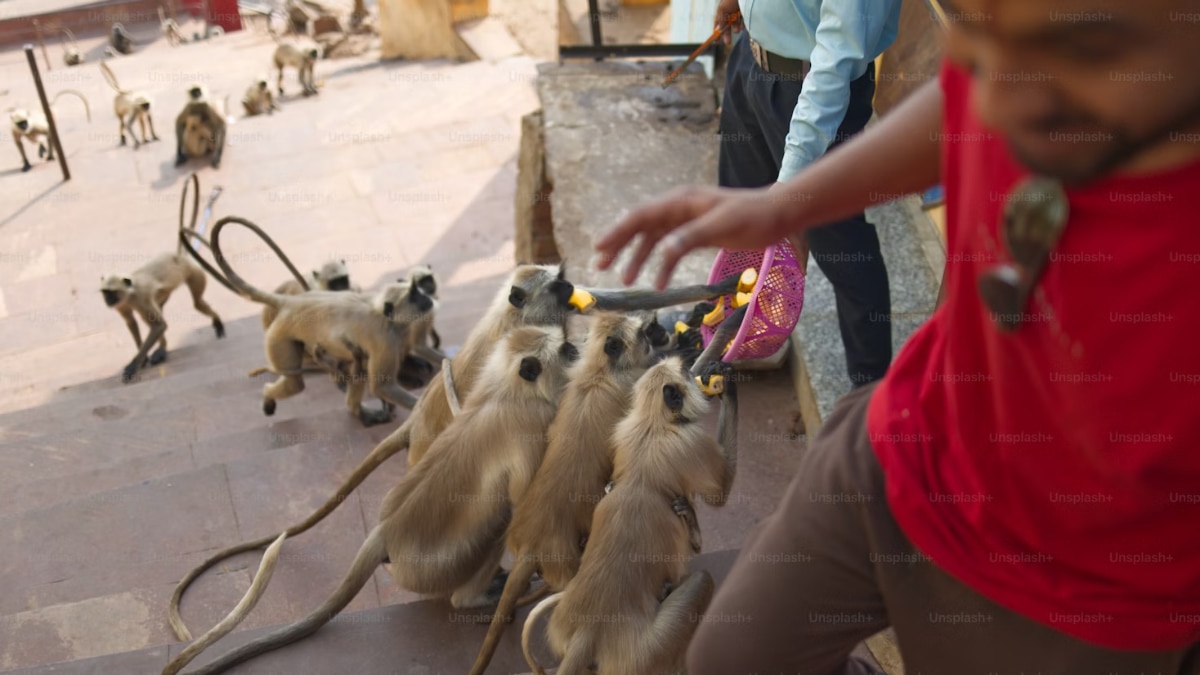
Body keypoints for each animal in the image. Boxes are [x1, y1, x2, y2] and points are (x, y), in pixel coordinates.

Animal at [168, 326, 580, 674]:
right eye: (563, 348)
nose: (576, 348)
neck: (508, 392)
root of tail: (384, 533)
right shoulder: (533, 425)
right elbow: (522, 508)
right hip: (431, 570)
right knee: (495, 525)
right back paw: (473, 598)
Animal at [468, 311, 673, 675]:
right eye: (642, 334)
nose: (654, 332)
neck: (598, 372)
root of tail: (533, 541)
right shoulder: (630, 386)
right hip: (562, 559)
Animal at [522, 356, 740, 675]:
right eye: (685, 372)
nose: (692, 368)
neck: (652, 423)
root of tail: (589, 631)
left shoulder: (623, 428)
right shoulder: (693, 439)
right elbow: (720, 495)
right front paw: (730, 390)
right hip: (645, 652)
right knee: (702, 581)